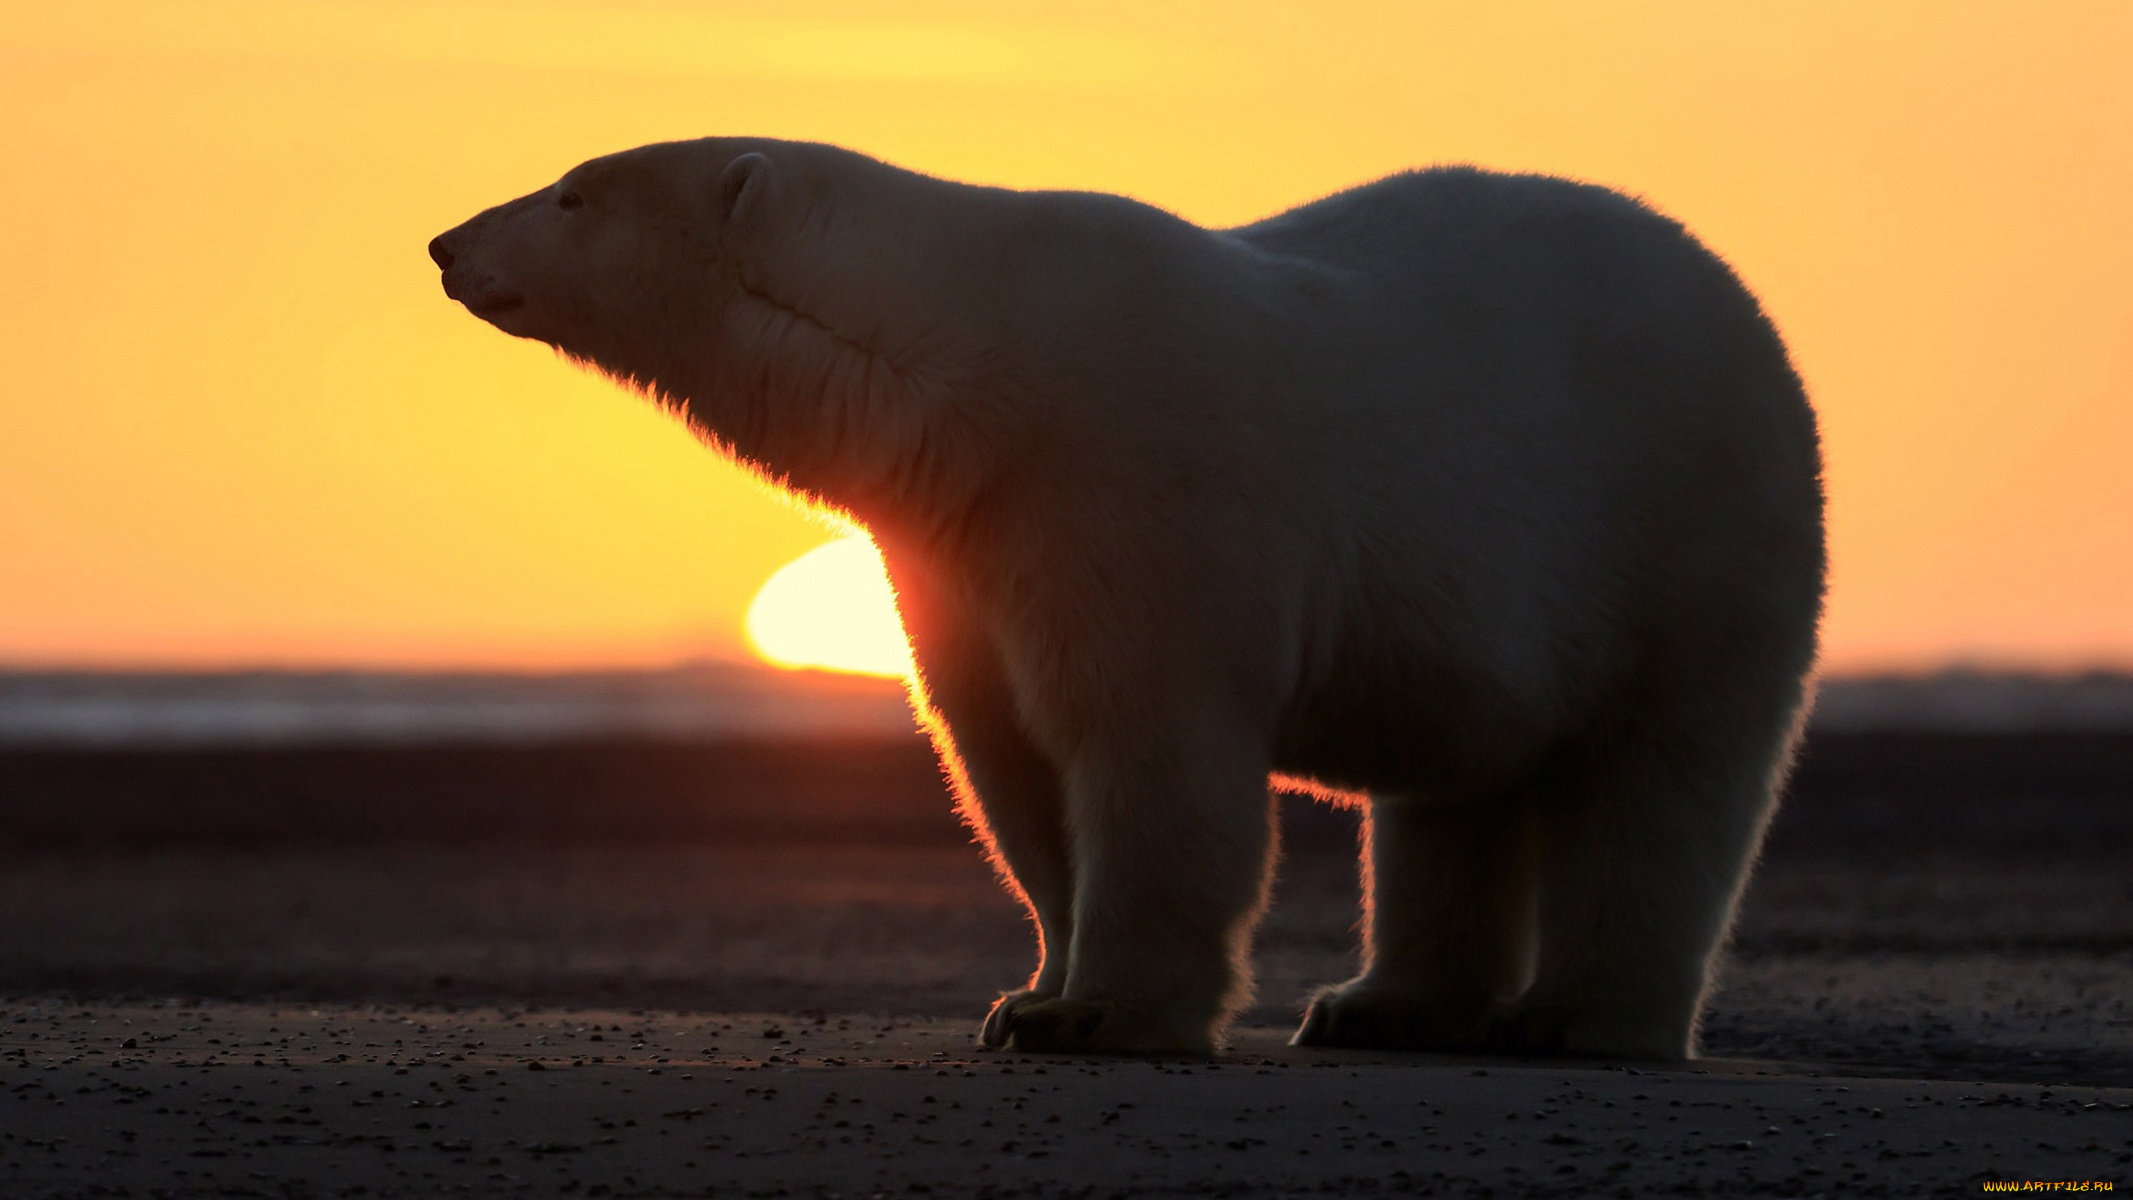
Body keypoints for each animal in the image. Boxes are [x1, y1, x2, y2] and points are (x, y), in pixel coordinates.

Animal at [428, 138, 1817, 1061]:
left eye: (571, 191)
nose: (445, 243)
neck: (969, 368)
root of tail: (1744, 304)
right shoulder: (959, 543)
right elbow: (1007, 760)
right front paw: (1030, 995)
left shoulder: (1129, 480)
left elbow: (1148, 749)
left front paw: (1106, 1014)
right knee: (1452, 793)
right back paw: (1380, 1006)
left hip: (1690, 529)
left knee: (1661, 782)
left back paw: (1580, 1017)